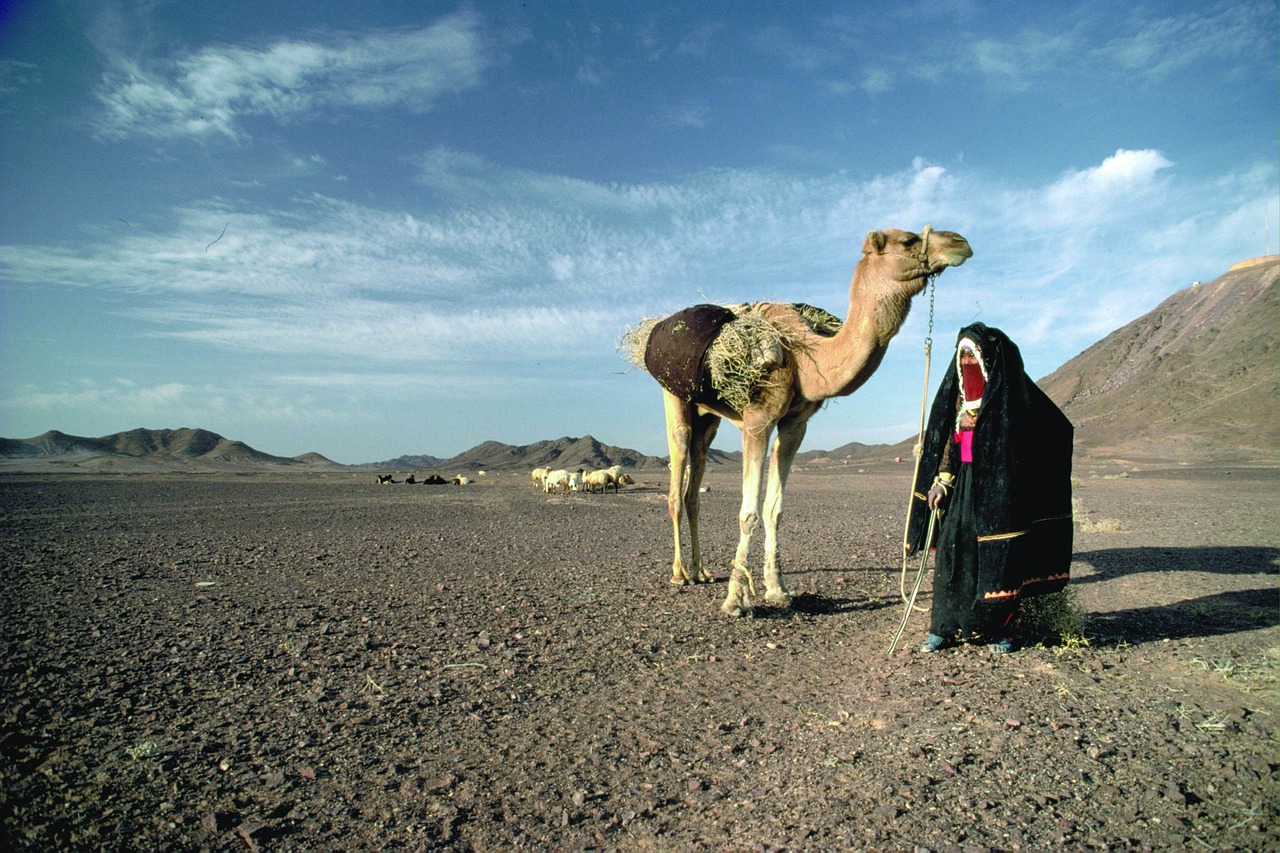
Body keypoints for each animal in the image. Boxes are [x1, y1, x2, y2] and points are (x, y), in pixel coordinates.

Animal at [645, 225, 972, 612]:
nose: (960, 243)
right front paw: (737, 599)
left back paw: (701, 571)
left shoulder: (795, 426)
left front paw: (778, 590)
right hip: (674, 396)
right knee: (676, 476)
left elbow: (774, 509)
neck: (804, 359)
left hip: (708, 416)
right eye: (907, 240)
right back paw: (679, 573)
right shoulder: (758, 420)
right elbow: (748, 513)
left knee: (695, 476)